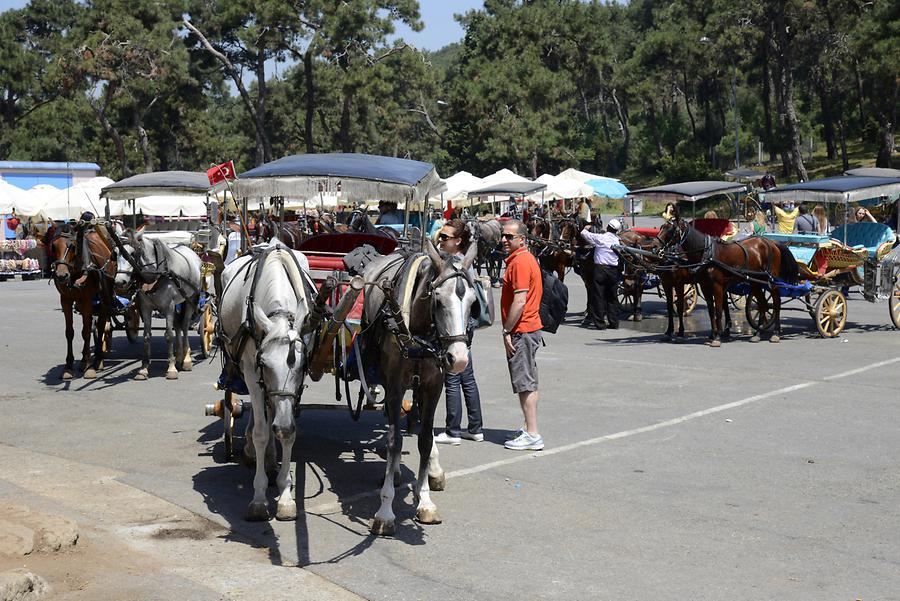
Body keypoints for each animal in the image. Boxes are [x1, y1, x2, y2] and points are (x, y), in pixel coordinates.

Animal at [656, 218, 800, 344]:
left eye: (670, 230)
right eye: (661, 227)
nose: (655, 246)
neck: (708, 254)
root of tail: (771, 242)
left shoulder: (716, 286)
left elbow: (719, 311)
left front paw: (717, 337)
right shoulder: (705, 286)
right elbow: (711, 312)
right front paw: (713, 334)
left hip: (772, 281)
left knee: (776, 303)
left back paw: (776, 333)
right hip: (756, 282)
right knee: (762, 304)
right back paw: (758, 333)